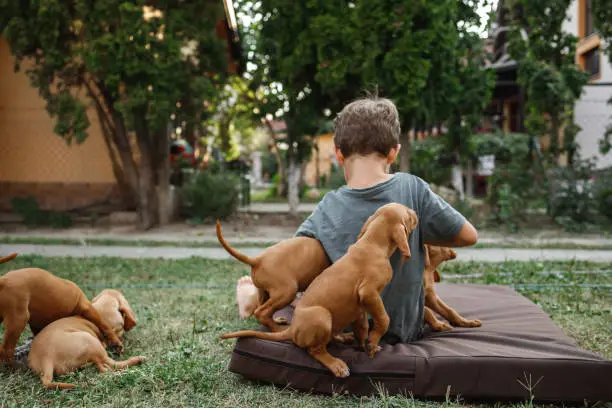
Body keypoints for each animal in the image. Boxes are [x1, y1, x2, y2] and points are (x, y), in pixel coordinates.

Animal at [218, 202, 418, 378]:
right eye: (408, 215)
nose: (415, 213)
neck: (372, 242)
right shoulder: (369, 293)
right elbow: (384, 319)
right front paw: (374, 340)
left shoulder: (360, 306)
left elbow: (362, 327)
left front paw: (366, 345)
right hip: (316, 312)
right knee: (313, 349)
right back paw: (336, 364)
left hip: (269, 293)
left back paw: (340, 338)